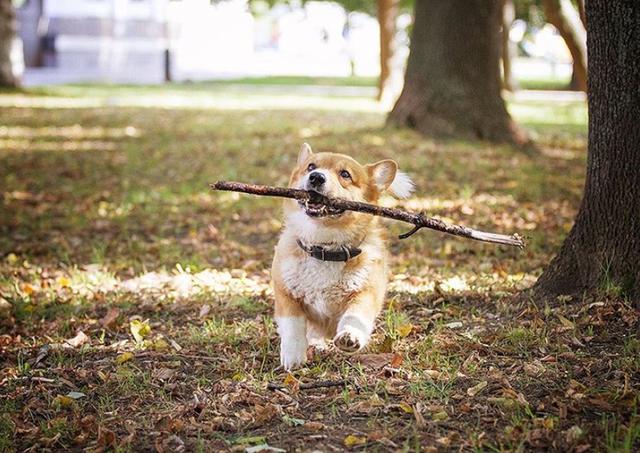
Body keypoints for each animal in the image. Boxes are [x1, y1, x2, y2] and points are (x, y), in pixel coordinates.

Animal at [272, 143, 416, 370]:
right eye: (311, 166)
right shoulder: (285, 294)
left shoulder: (365, 293)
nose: (316, 177)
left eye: (345, 174)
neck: (324, 248)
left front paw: (350, 337)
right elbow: (293, 325)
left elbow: (355, 317)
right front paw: (293, 356)